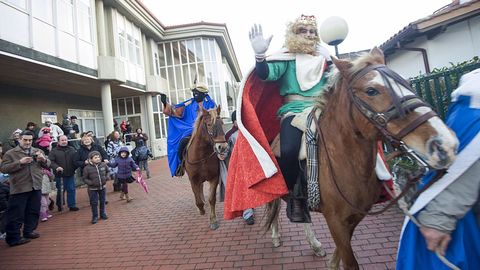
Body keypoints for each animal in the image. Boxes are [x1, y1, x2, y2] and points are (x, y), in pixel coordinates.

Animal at [266, 47, 458, 268]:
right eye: (371, 91)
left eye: (407, 84)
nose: (445, 144)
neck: (344, 161)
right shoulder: (335, 221)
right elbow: (350, 262)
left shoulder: (353, 218)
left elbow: (339, 255)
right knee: (273, 205)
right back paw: (276, 236)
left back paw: (314, 244)